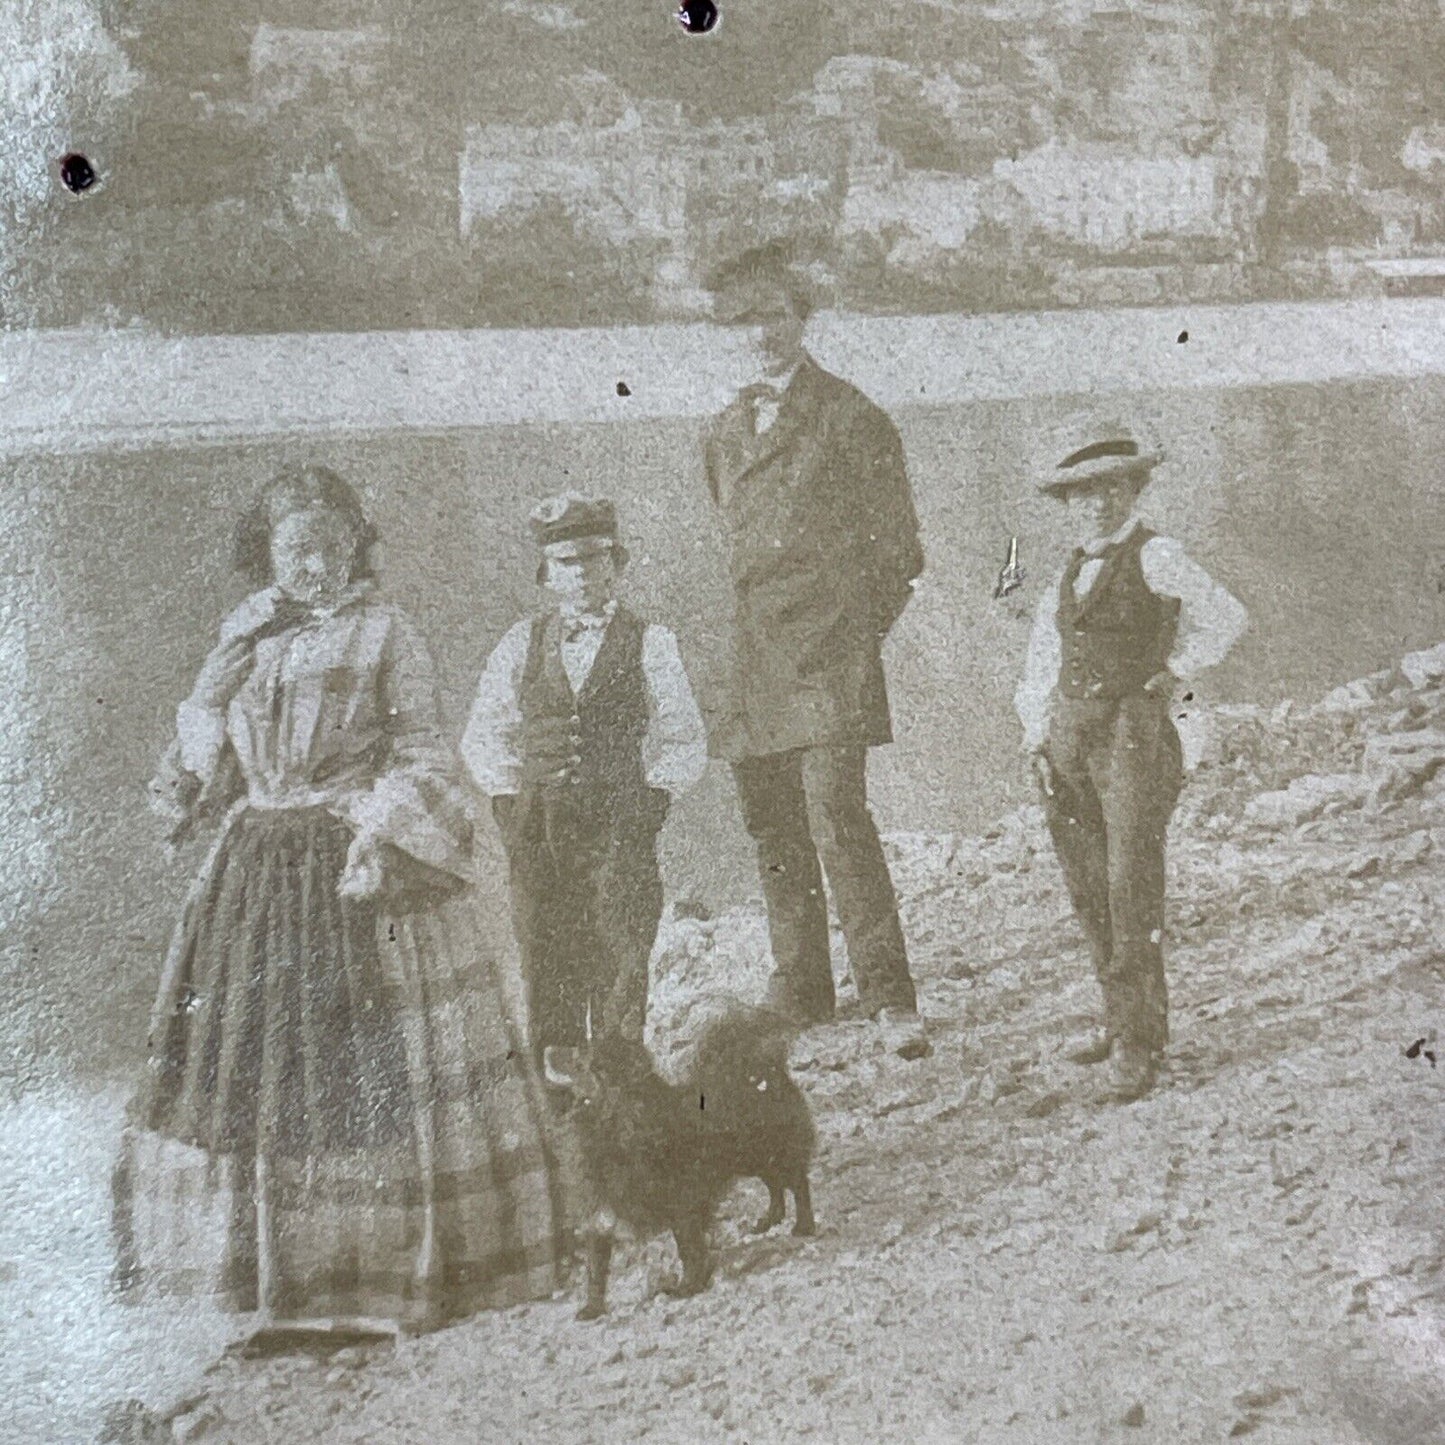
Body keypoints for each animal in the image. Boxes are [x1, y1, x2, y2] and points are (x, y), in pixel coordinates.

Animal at [543, 1005, 814, 1323]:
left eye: (580, 1060)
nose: (548, 1048)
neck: (615, 1128)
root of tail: (766, 1070)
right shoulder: (598, 1217)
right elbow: (595, 1271)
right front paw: (593, 1308)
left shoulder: (684, 1206)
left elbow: (688, 1248)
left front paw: (689, 1286)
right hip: (753, 1158)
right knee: (774, 1184)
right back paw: (770, 1218)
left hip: (776, 1152)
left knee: (798, 1183)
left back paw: (804, 1226)